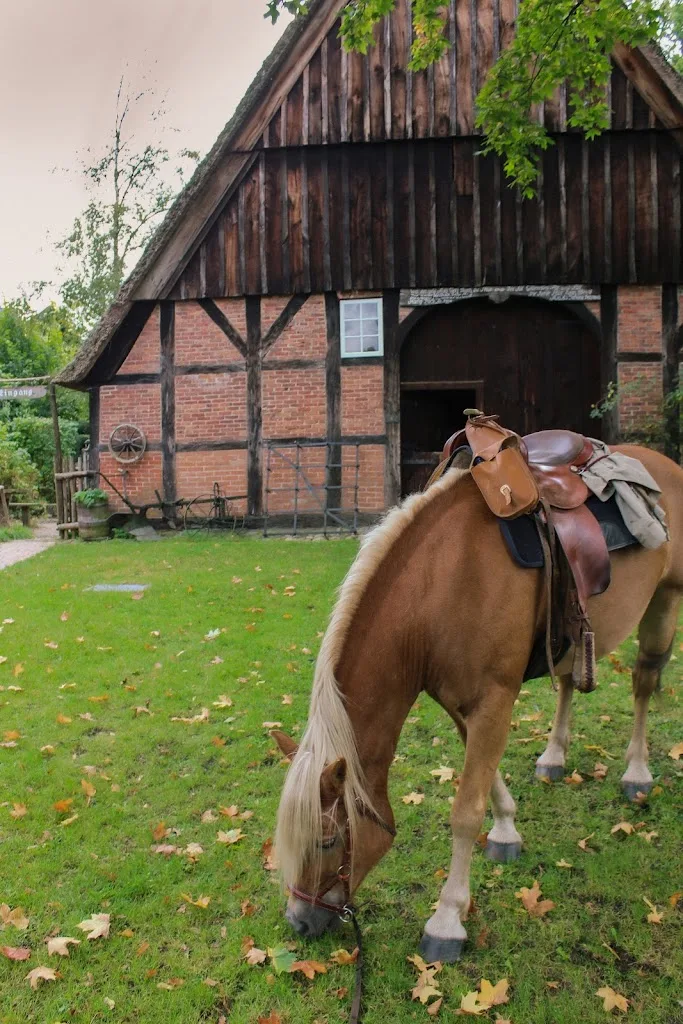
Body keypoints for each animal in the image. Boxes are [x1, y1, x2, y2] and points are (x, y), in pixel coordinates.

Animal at [273, 444, 683, 963]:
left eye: (328, 840)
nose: (299, 922)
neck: (444, 580)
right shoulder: (460, 701)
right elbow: (487, 779)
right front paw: (507, 829)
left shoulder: (495, 697)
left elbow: (466, 811)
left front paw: (447, 920)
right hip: (572, 640)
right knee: (568, 685)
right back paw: (554, 756)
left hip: (665, 601)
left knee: (644, 683)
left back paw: (637, 772)